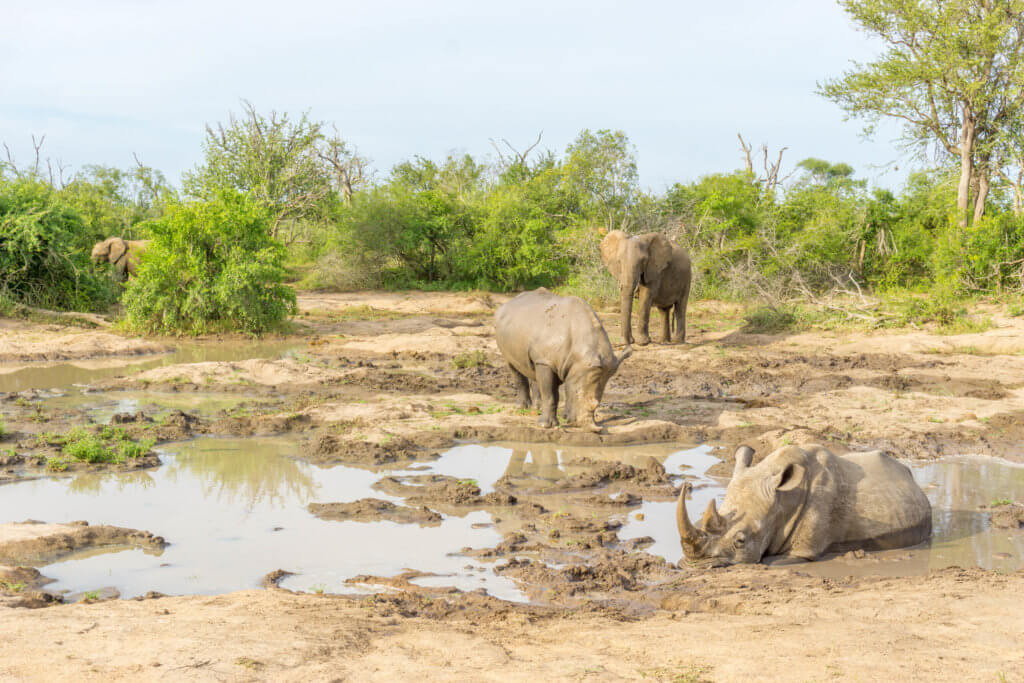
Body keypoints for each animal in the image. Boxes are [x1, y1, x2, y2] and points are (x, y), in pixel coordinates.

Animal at [495, 288, 630, 432]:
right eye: (577, 393)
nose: (594, 429)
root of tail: (507, 303)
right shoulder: (546, 361)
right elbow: (550, 394)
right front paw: (546, 426)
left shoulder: (571, 366)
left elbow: (559, 392)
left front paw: (564, 418)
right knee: (513, 366)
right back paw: (522, 407)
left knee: (532, 367)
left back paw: (537, 408)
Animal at [675, 446, 933, 565]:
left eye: (741, 541)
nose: (694, 564)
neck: (781, 501)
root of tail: (908, 474)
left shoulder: (804, 551)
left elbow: (773, 560)